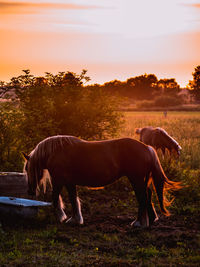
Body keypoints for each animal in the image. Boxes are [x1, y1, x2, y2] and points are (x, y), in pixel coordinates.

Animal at [22, 136, 180, 228]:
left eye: (28, 169)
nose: (30, 191)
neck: (56, 152)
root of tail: (147, 148)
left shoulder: (59, 180)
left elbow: (55, 199)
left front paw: (61, 217)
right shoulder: (70, 182)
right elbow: (73, 200)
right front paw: (75, 219)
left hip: (135, 179)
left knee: (142, 197)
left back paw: (138, 223)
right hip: (142, 180)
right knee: (147, 196)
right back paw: (151, 219)